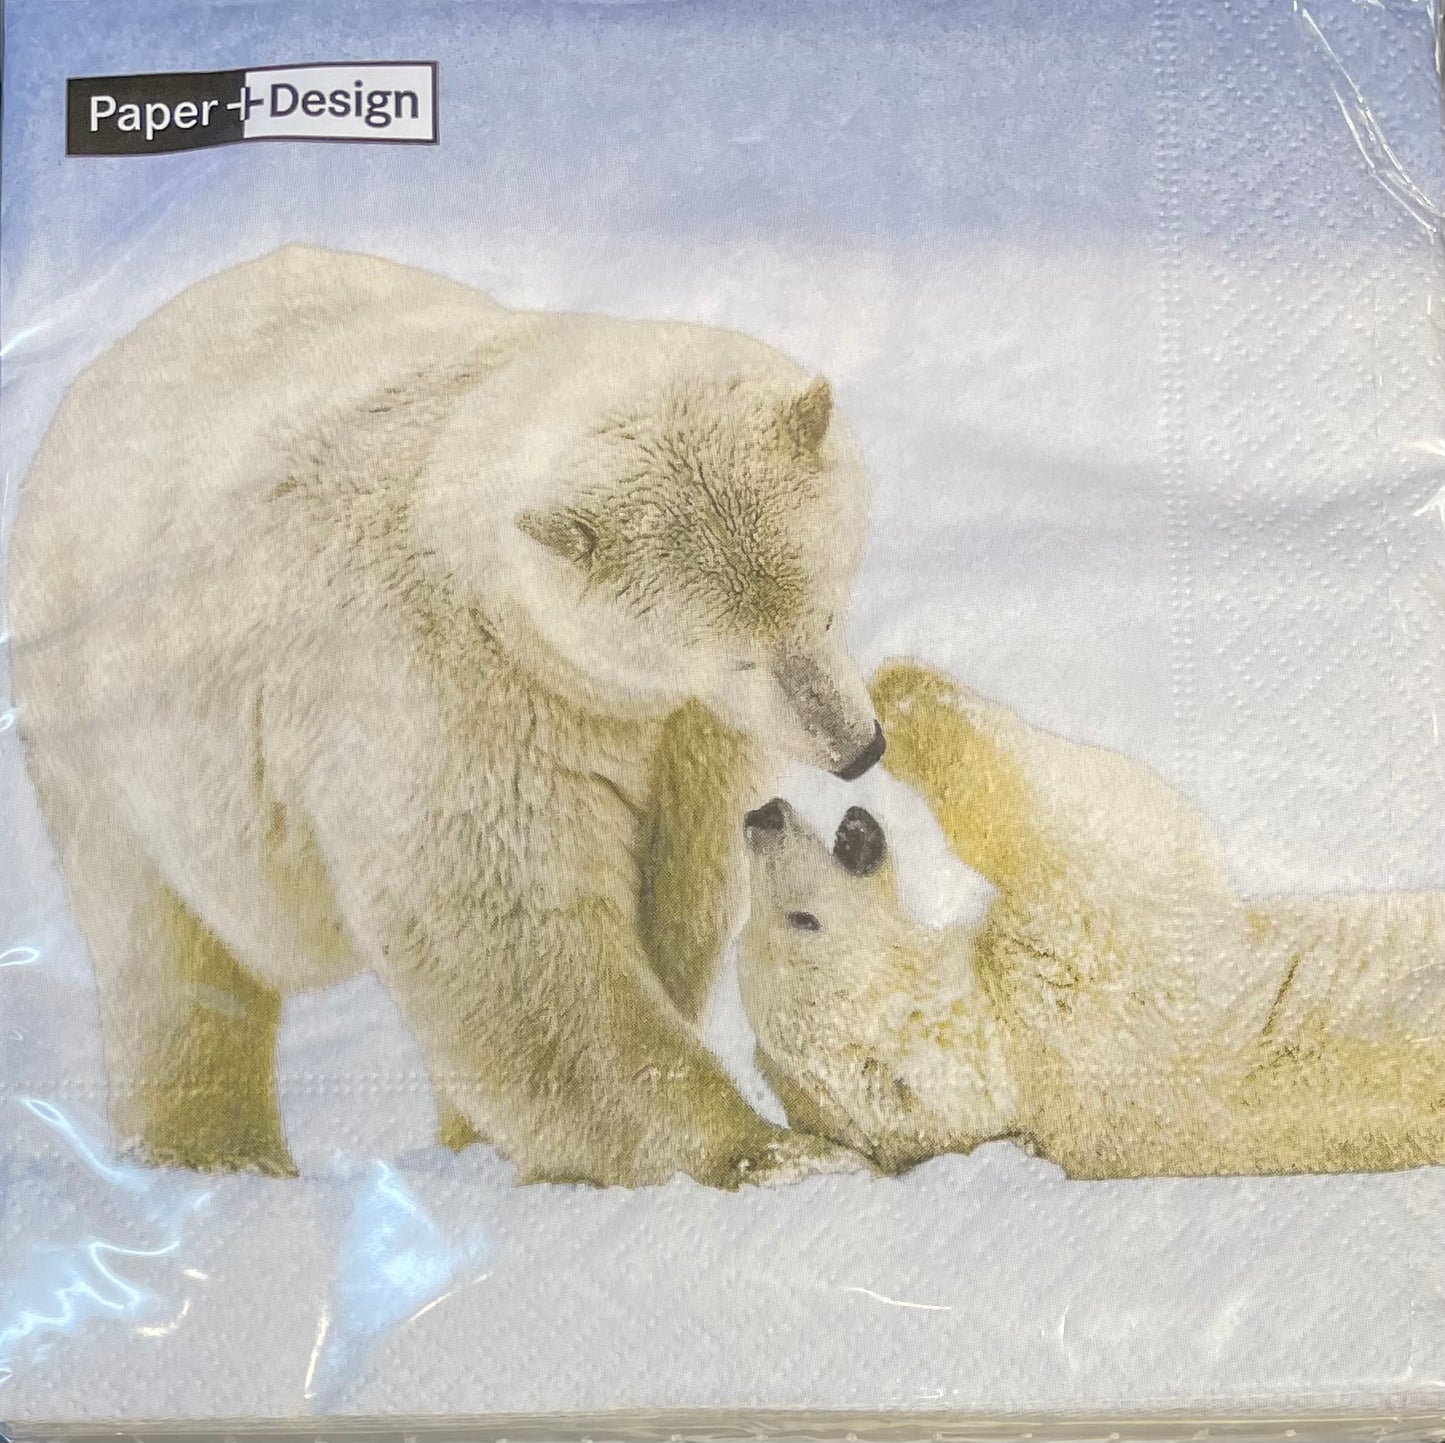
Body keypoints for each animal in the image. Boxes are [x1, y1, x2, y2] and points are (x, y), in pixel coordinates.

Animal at [7, 244, 887, 1189]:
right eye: (736, 655)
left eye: (823, 611)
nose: (858, 748)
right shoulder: (452, 692)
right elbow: (513, 941)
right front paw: (774, 1152)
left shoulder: (678, 728)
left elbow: (677, 879)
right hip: (107, 744)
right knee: (169, 960)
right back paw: (214, 1153)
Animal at [737, 659, 1445, 1179]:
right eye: (802, 920)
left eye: (756, 929)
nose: (761, 816)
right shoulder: (1087, 977)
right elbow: (1106, 816)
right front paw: (900, 687)